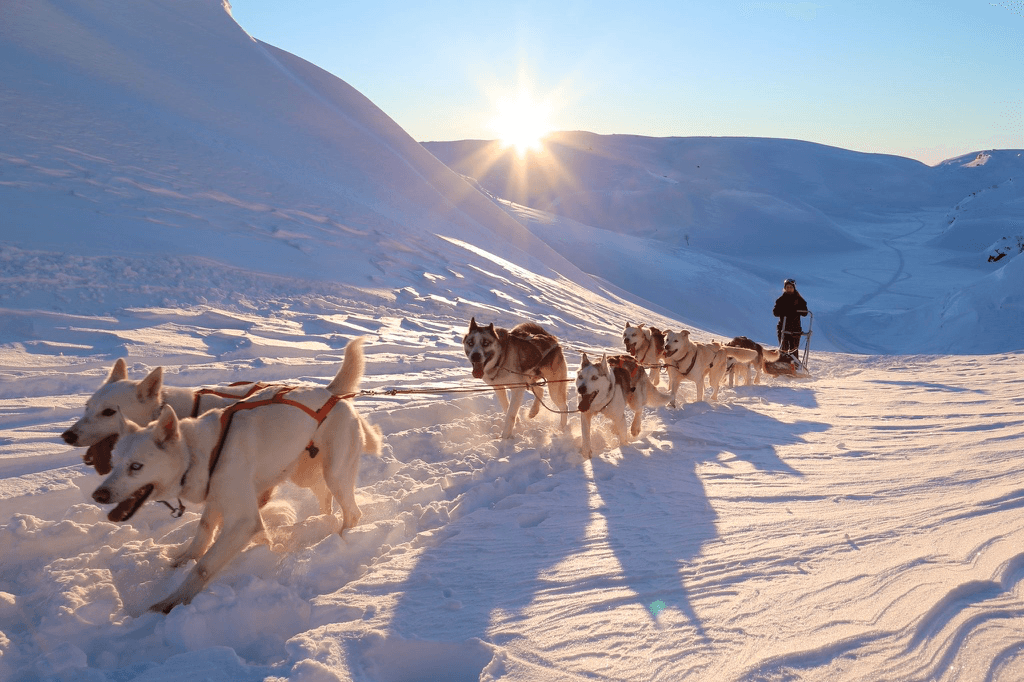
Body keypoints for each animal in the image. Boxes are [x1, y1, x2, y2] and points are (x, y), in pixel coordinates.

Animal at [90, 337, 380, 610]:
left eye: (136, 466)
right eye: (115, 462)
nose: (99, 495)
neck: (202, 451)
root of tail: (330, 393)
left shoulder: (242, 519)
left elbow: (205, 565)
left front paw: (172, 602)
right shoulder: (219, 499)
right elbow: (205, 532)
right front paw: (187, 557)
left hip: (335, 474)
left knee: (352, 512)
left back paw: (341, 538)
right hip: (304, 471)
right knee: (324, 497)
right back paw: (321, 522)